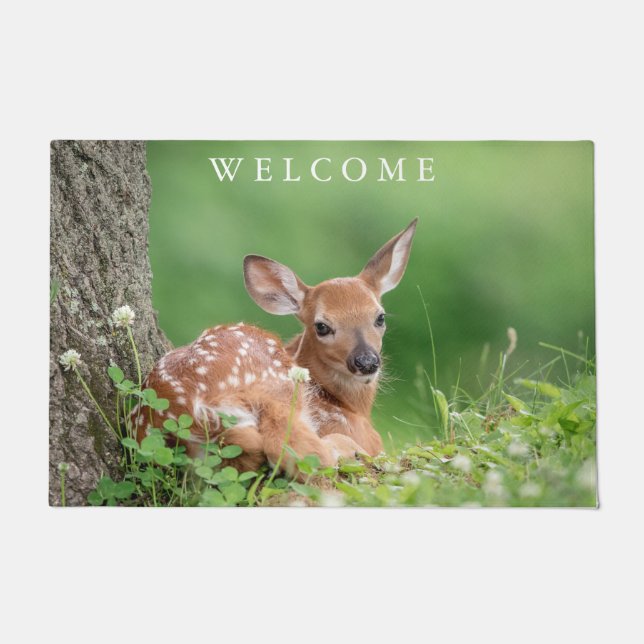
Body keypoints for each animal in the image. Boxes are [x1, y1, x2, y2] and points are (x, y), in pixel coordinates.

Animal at [132, 218, 418, 476]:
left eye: (380, 317)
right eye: (322, 326)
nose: (366, 362)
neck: (348, 405)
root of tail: (195, 411)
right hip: (277, 387)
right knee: (297, 451)